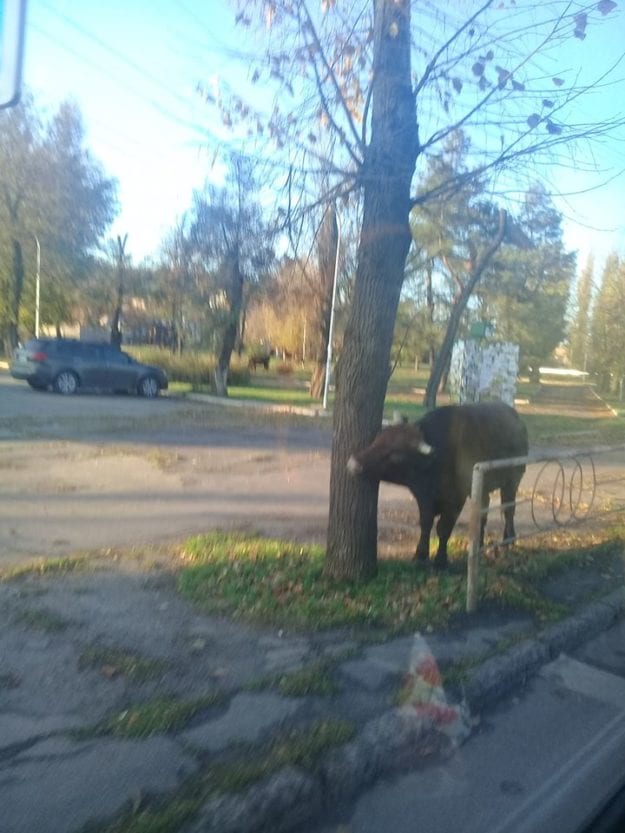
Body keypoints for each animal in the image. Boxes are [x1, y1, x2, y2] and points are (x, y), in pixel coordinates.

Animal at [346, 400, 528, 568]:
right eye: (379, 438)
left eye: (396, 456)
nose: (354, 463)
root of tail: (517, 419)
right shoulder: (423, 496)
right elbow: (425, 523)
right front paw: (420, 555)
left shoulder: (456, 500)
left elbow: (443, 528)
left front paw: (441, 560)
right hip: (481, 488)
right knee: (483, 512)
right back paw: (480, 544)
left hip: (512, 481)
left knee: (508, 509)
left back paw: (508, 540)